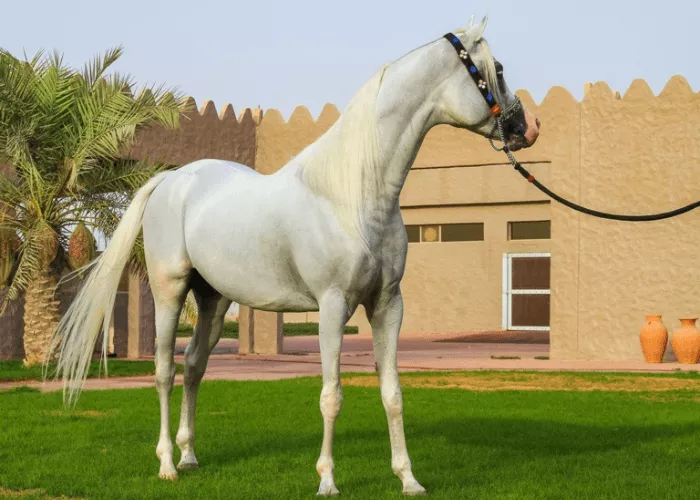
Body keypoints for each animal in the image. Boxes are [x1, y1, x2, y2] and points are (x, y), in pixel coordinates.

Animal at [49, 15, 540, 496]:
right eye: (497, 70)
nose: (528, 128)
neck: (351, 195)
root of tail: (170, 180)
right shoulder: (333, 305)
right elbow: (331, 394)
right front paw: (327, 480)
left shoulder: (387, 304)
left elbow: (392, 393)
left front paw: (408, 478)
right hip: (170, 292)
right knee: (165, 371)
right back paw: (168, 463)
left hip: (213, 300)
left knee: (193, 367)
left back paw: (189, 456)